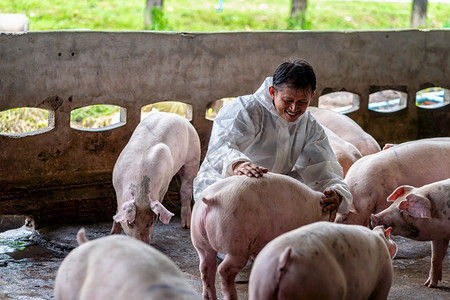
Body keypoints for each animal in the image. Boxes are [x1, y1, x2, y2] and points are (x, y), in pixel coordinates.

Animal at [110, 111, 200, 245]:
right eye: (130, 223)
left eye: (151, 222)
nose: (143, 243)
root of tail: (175, 115)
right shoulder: (117, 187)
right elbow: (117, 210)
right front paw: (112, 234)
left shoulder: (164, 187)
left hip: (193, 156)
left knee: (186, 190)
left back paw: (186, 225)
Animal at [188, 171, 332, 300]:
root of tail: (211, 200)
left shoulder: (261, 242)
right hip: (237, 244)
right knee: (223, 270)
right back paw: (232, 297)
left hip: (199, 240)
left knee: (206, 267)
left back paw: (209, 297)